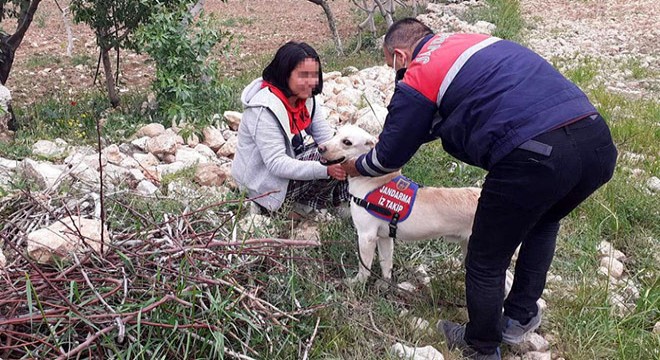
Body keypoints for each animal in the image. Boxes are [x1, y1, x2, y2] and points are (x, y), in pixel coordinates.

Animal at [318, 124, 482, 284]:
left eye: (347, 142)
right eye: (335, 133)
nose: (320, 148)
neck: (372, 181)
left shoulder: (366, 236)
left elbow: (364, 268)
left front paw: (357, 284)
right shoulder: (384, 238)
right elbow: (386, 264)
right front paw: (386, 285)